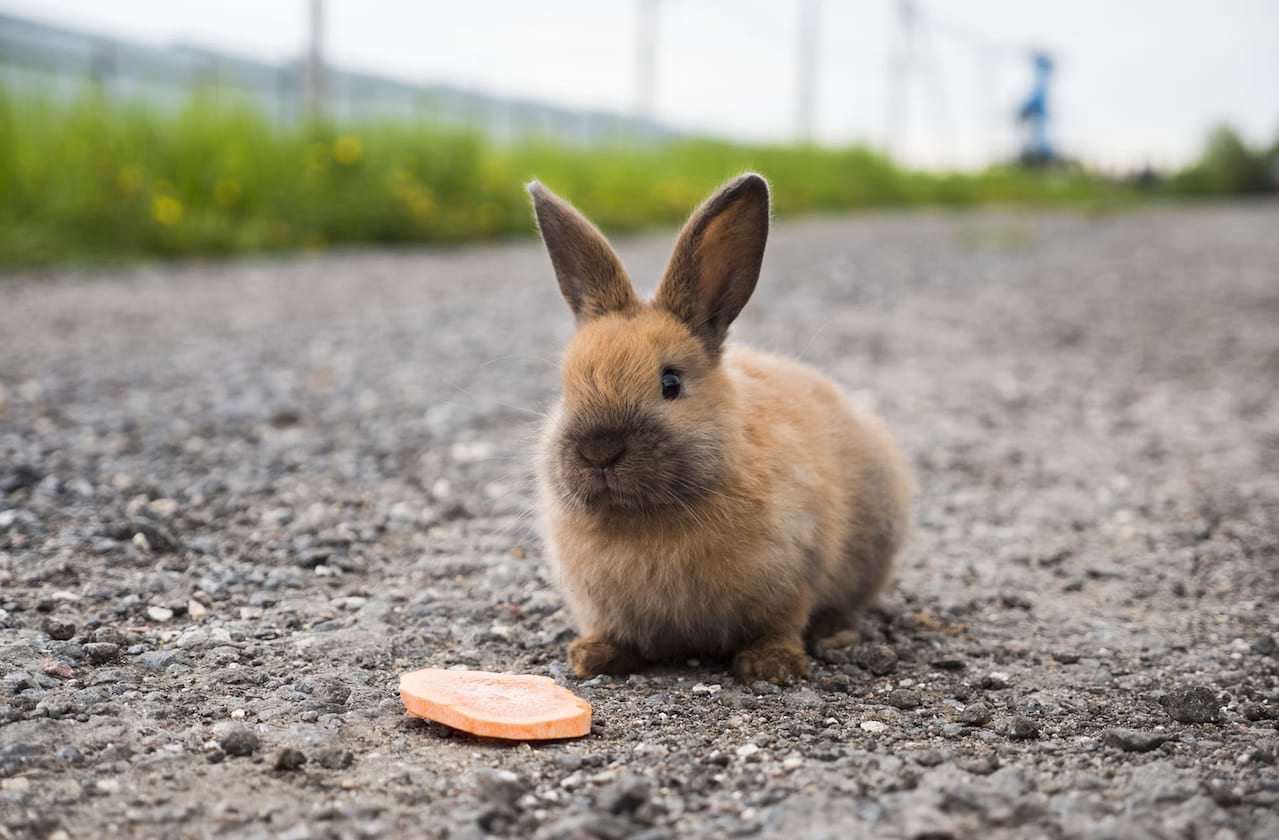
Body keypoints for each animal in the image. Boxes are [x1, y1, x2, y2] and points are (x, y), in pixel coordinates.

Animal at [526, 172, 910, 680]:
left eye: (670, 382)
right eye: (565, 386)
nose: (599, 451)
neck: (648, 515)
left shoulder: (793, 576)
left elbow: (783, 622)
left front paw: (772, 665)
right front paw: (592, 656)